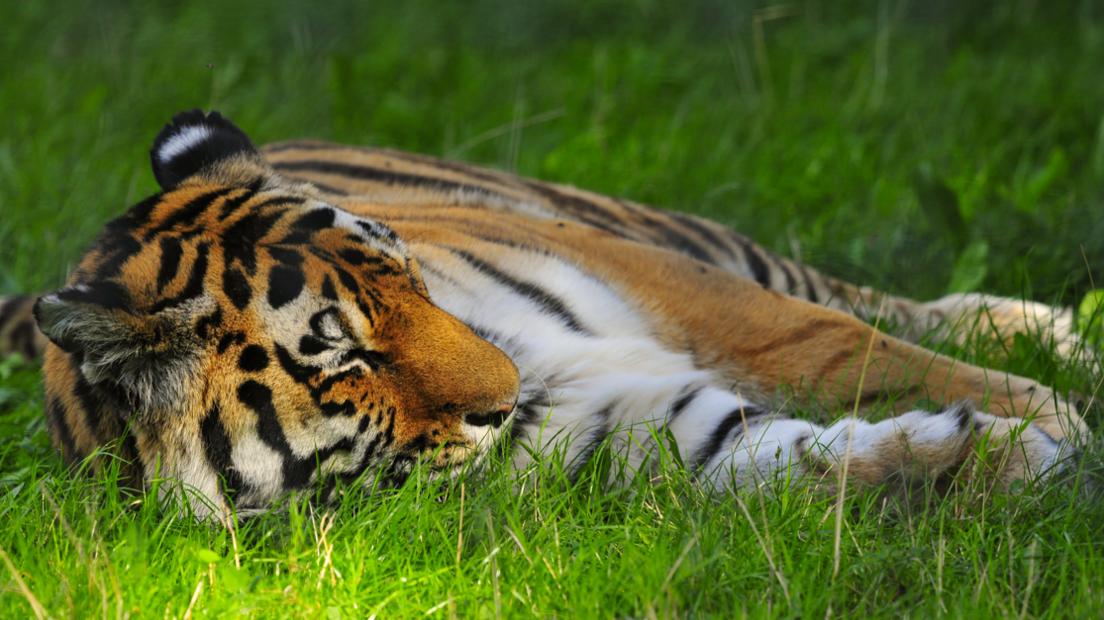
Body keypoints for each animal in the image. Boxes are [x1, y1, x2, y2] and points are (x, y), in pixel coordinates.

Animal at [0, 109, 1091, 518]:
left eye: (411, 281)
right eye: (344, 357)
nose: (507, 391)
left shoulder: (672, 283)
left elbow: (833, 346)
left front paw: (1047, 417)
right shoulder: (644, 431)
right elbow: (796, 458)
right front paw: (1008, 454)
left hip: (667, 231)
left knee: (856, 297)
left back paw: (1056, 332)